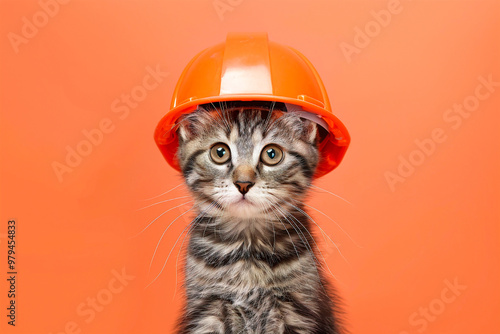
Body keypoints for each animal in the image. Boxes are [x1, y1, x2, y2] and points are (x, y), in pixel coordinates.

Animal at [174, 102, 342, 334]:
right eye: (220, 152)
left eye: (272, 154)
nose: (243, 183)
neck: (247, 249)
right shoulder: (208, 309)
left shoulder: (297, 309)